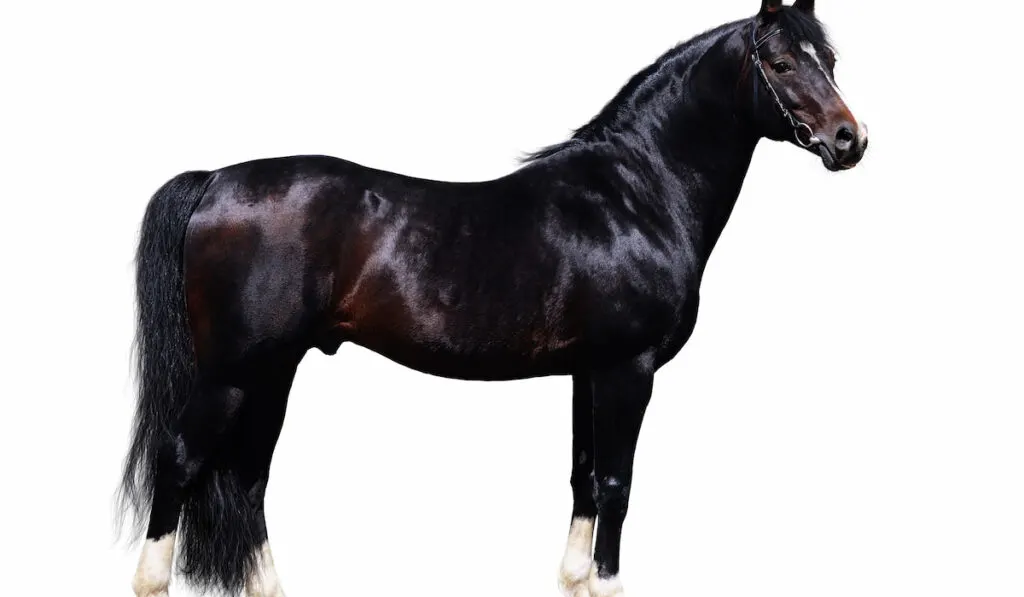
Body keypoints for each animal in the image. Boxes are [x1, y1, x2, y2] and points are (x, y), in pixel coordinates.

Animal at [119, 2, 868, 593]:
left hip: (271, 373)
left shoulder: (588, 372)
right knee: (181, 462)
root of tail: (216, 179)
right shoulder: (629, 369)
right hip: (232, 375)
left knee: (247, 480)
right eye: (779, 62)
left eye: (830, 58)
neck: (635, 194)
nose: (849, 140)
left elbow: (583, 477)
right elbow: (616, 485)